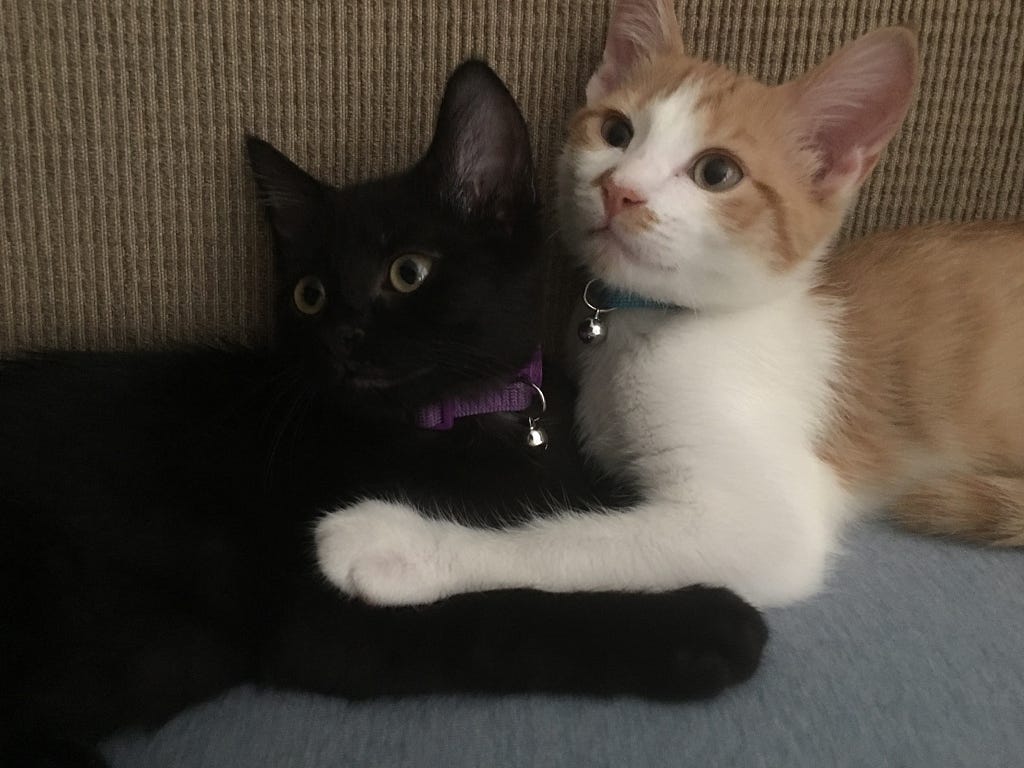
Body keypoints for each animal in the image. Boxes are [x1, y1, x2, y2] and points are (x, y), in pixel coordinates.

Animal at [0, 61, 770, 768]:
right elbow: (509, 612)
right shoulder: (325, 624)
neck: (461, 418)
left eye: (408, 272)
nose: (342, 336)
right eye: (309, 294)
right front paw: (705, 625)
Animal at [315, 1, 1019, 614]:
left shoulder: (762, 527)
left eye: (717, 173)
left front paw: (399, 546)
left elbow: (572, 541)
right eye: (616, 132)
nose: (619, 189)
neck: (653, 324)